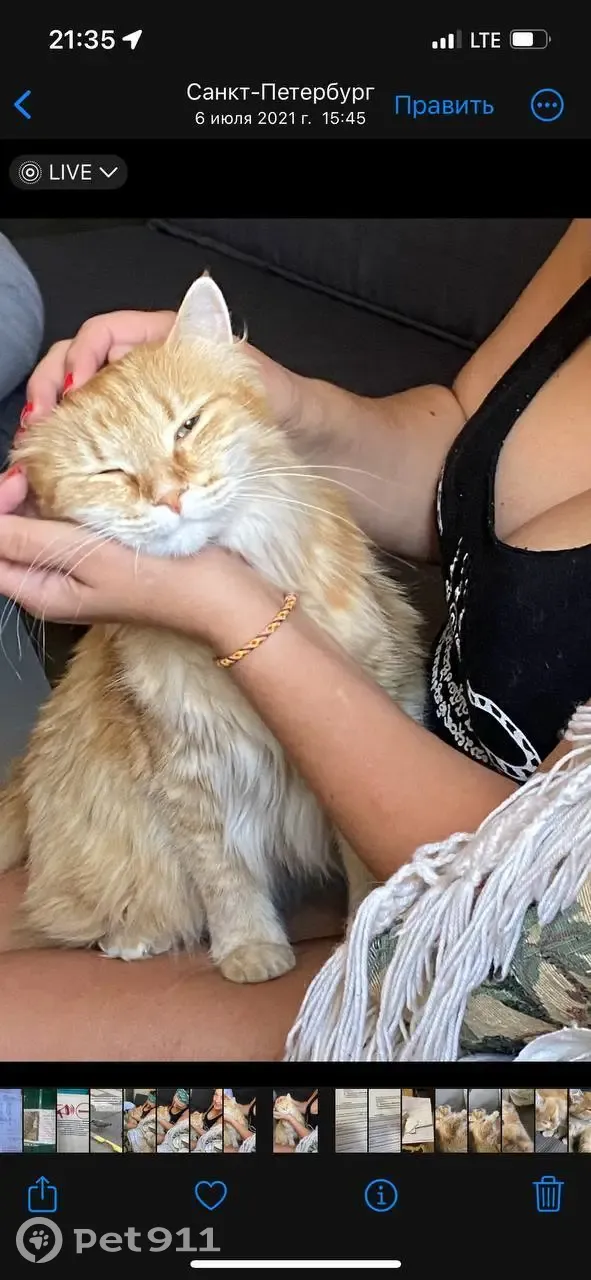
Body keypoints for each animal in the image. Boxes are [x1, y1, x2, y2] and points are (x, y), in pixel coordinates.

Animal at [0, 274, 425, 984]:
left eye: (188, 426)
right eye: (110, 471)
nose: (170, 496)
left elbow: (368, 876)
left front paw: (355, 952)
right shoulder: (186, 774)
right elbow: (225, 876)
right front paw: (250, 950)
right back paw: (134, 939)